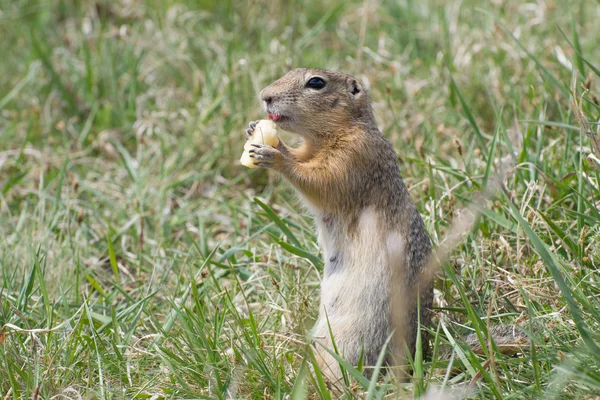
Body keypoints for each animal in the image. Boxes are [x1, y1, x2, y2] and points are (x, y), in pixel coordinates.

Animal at [244, 69, 432, 382]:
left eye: (316, 83)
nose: (264, 96)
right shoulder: (312, 150)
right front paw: (254, 131)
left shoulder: (353, 156)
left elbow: (320, 181)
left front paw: (276, 153)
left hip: (351, 343)